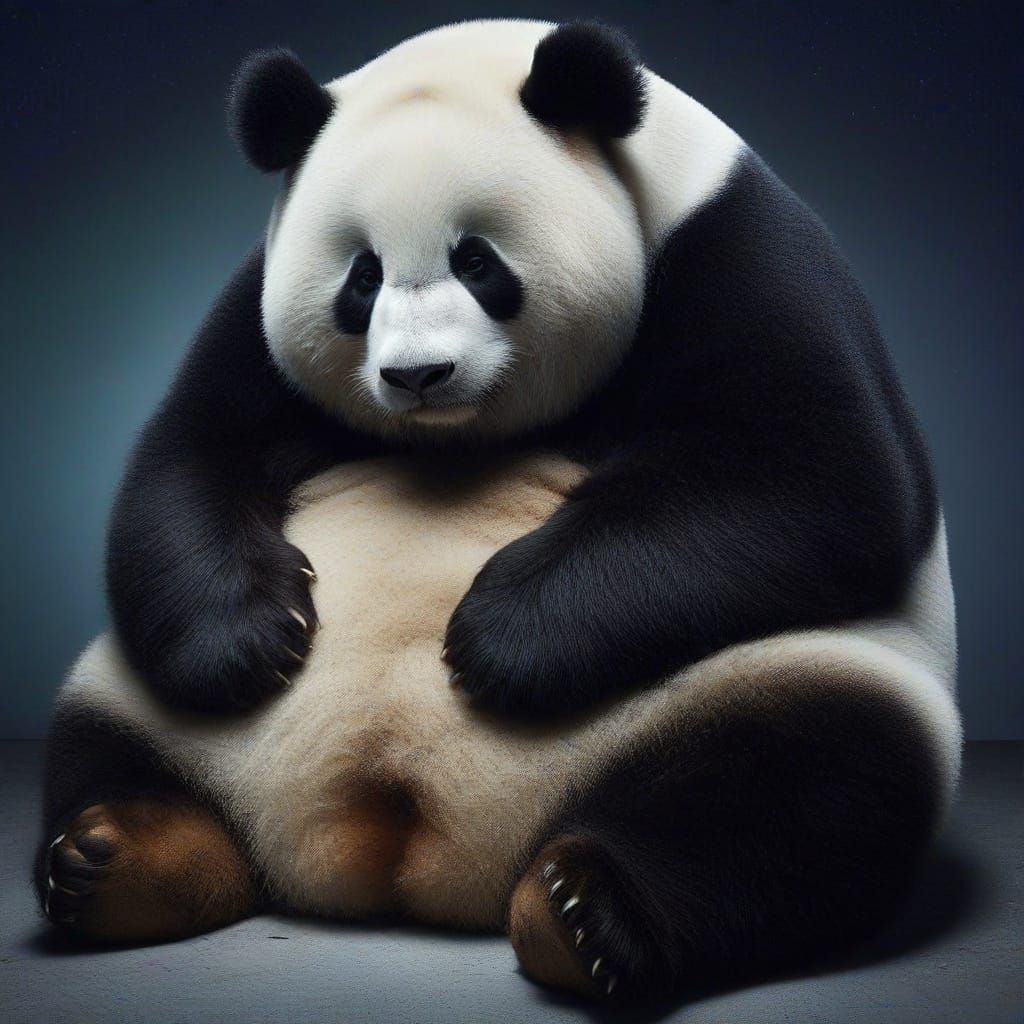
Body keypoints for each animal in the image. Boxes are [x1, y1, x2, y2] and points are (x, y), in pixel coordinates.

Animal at [36, 19, 960, 1002]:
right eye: (361, 278)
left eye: (477, 261)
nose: (417, 375)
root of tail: (410, 851)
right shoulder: (254, 305)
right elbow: (190, 454)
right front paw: (251, 638)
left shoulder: (735, 248)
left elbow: (818, 475)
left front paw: (499, 639)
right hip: (139, 690)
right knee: (104, 737)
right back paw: (114, 860)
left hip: (784, 676)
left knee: (797, 793)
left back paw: (589, 912)